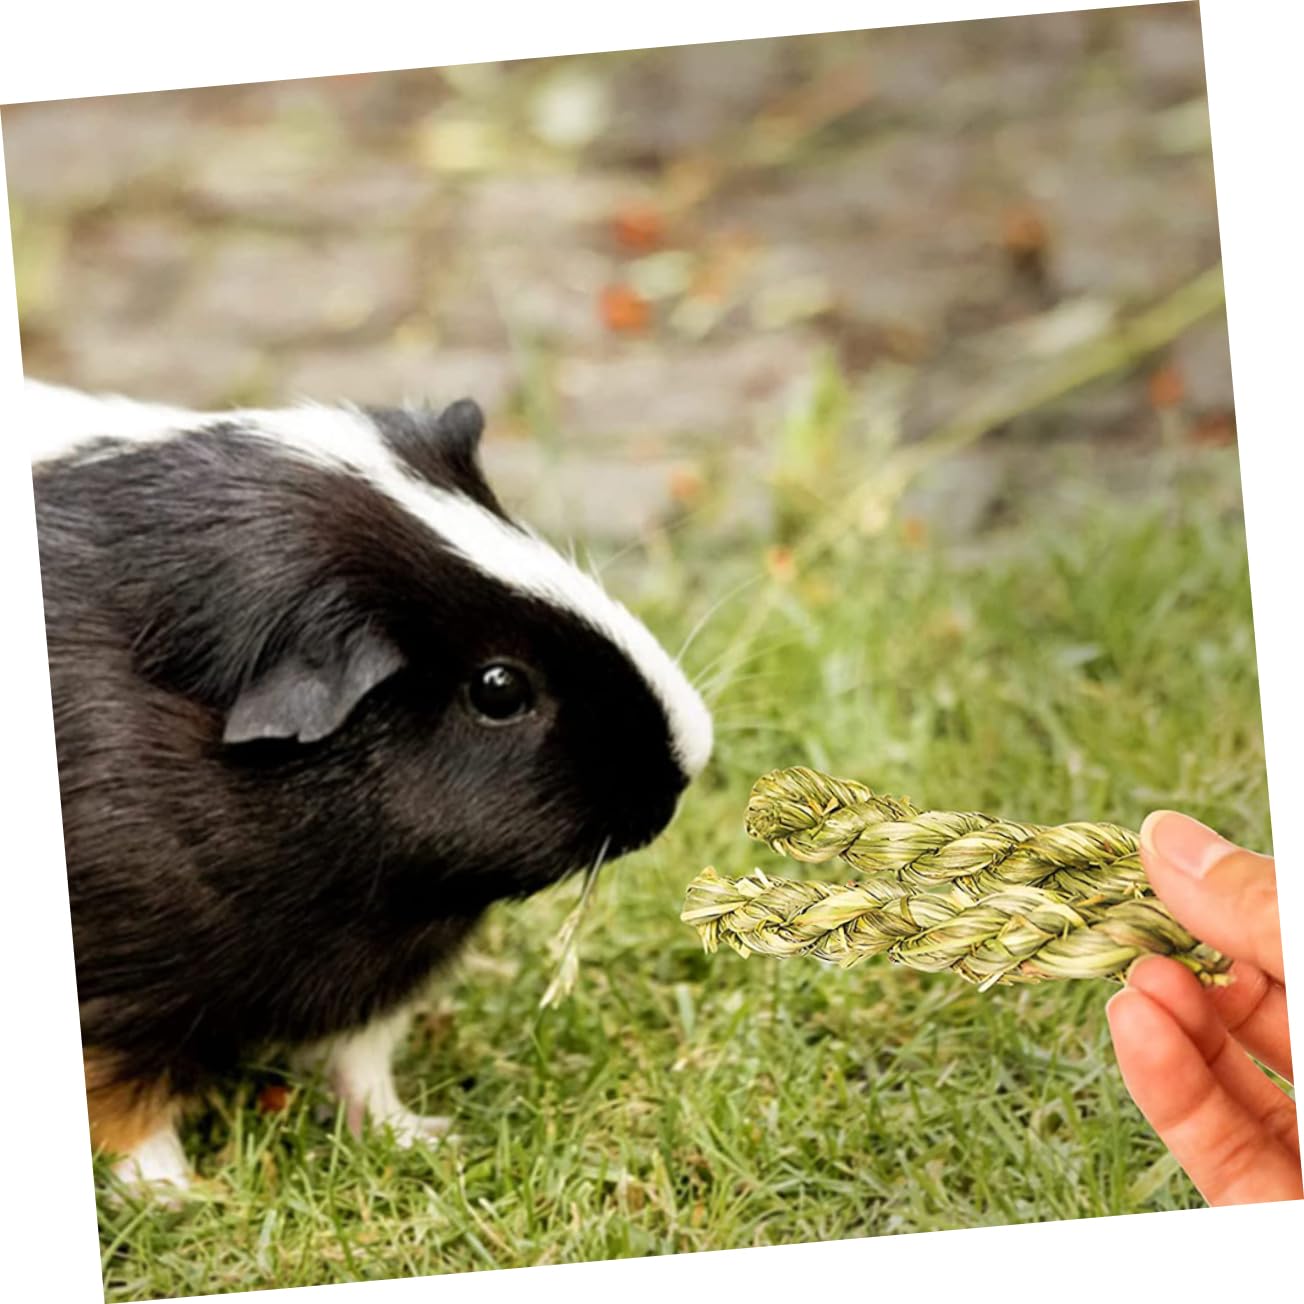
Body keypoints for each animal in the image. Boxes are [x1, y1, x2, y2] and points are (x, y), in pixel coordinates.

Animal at [25, 379, 712, 1193]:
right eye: (500, 688)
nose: (692, 752)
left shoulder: (374, 977)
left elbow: (362, 1067)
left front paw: (424, 1139)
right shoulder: (117, 1004)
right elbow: (127, 1114)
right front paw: (181, 1195)